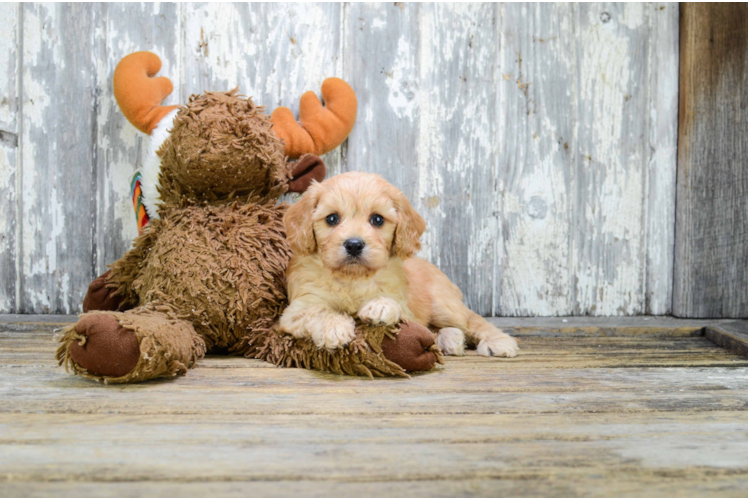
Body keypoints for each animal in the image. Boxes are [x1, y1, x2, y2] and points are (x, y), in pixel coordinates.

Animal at [280, 174, 520, 358]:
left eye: (377, 220)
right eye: (332, 219)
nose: (354, 244)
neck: (354, 278)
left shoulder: (407, 311)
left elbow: (394, 304)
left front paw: (380, 306)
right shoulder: (297, 309)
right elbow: (317, 310)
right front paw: (334, 327)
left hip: (443, 305)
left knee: (471, 320)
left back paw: (498, 342)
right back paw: (451, 340)